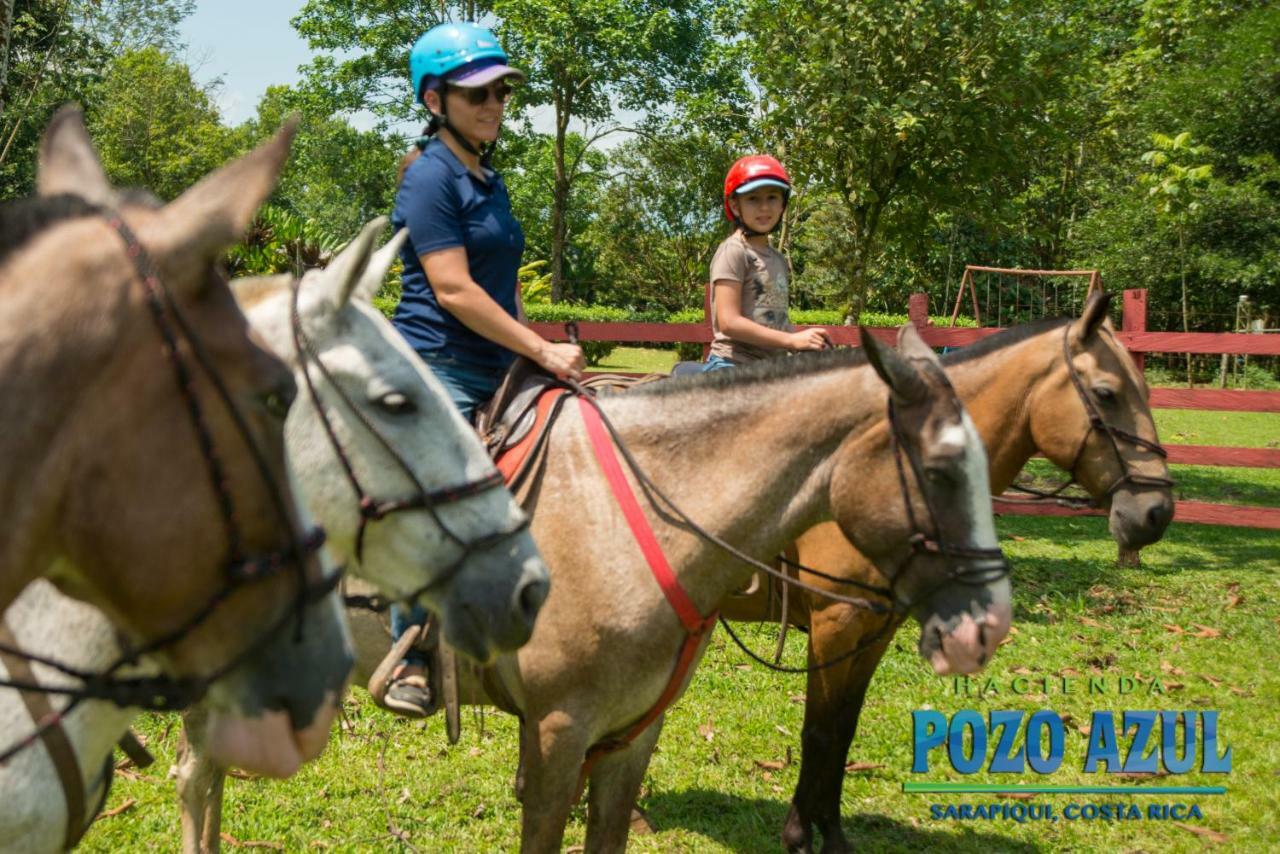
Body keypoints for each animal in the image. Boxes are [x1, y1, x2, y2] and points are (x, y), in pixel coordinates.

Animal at [180, 323, 1013, 850]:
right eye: (941, 470)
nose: (990, 626)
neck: (624, 521)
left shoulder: (632, 736)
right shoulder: (555, 736)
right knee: (194, 780)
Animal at [727, 290, 1172, 850]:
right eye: (1106, 393)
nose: (1156, 511)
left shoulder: (874, 630)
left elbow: (844, 730)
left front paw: (833, 834)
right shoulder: (834, 625)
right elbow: (819, 732)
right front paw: (797, 837)